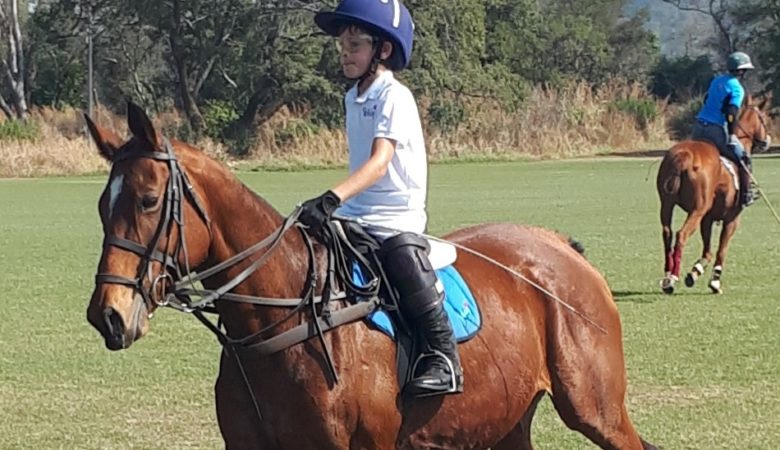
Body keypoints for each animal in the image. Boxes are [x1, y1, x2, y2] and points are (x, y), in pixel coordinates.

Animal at [87, 103, 660, 450]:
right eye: (100, 206)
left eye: (148, 200)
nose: (107, 317)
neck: (281, 321)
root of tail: (561, 246)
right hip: (505, 417)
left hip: (595, 408)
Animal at [656, 94, 772, 296]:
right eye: (764, 118)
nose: (767, 141)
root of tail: (684, 156)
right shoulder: (732, 219)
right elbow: (721, 251)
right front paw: (714, 282)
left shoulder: (708, 218)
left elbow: (708, 251)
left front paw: (694, 272)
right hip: (697, 209)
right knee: (681, 235)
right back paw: (673, 278)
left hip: (667, 204)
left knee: (667, 233)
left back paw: (667, 276)